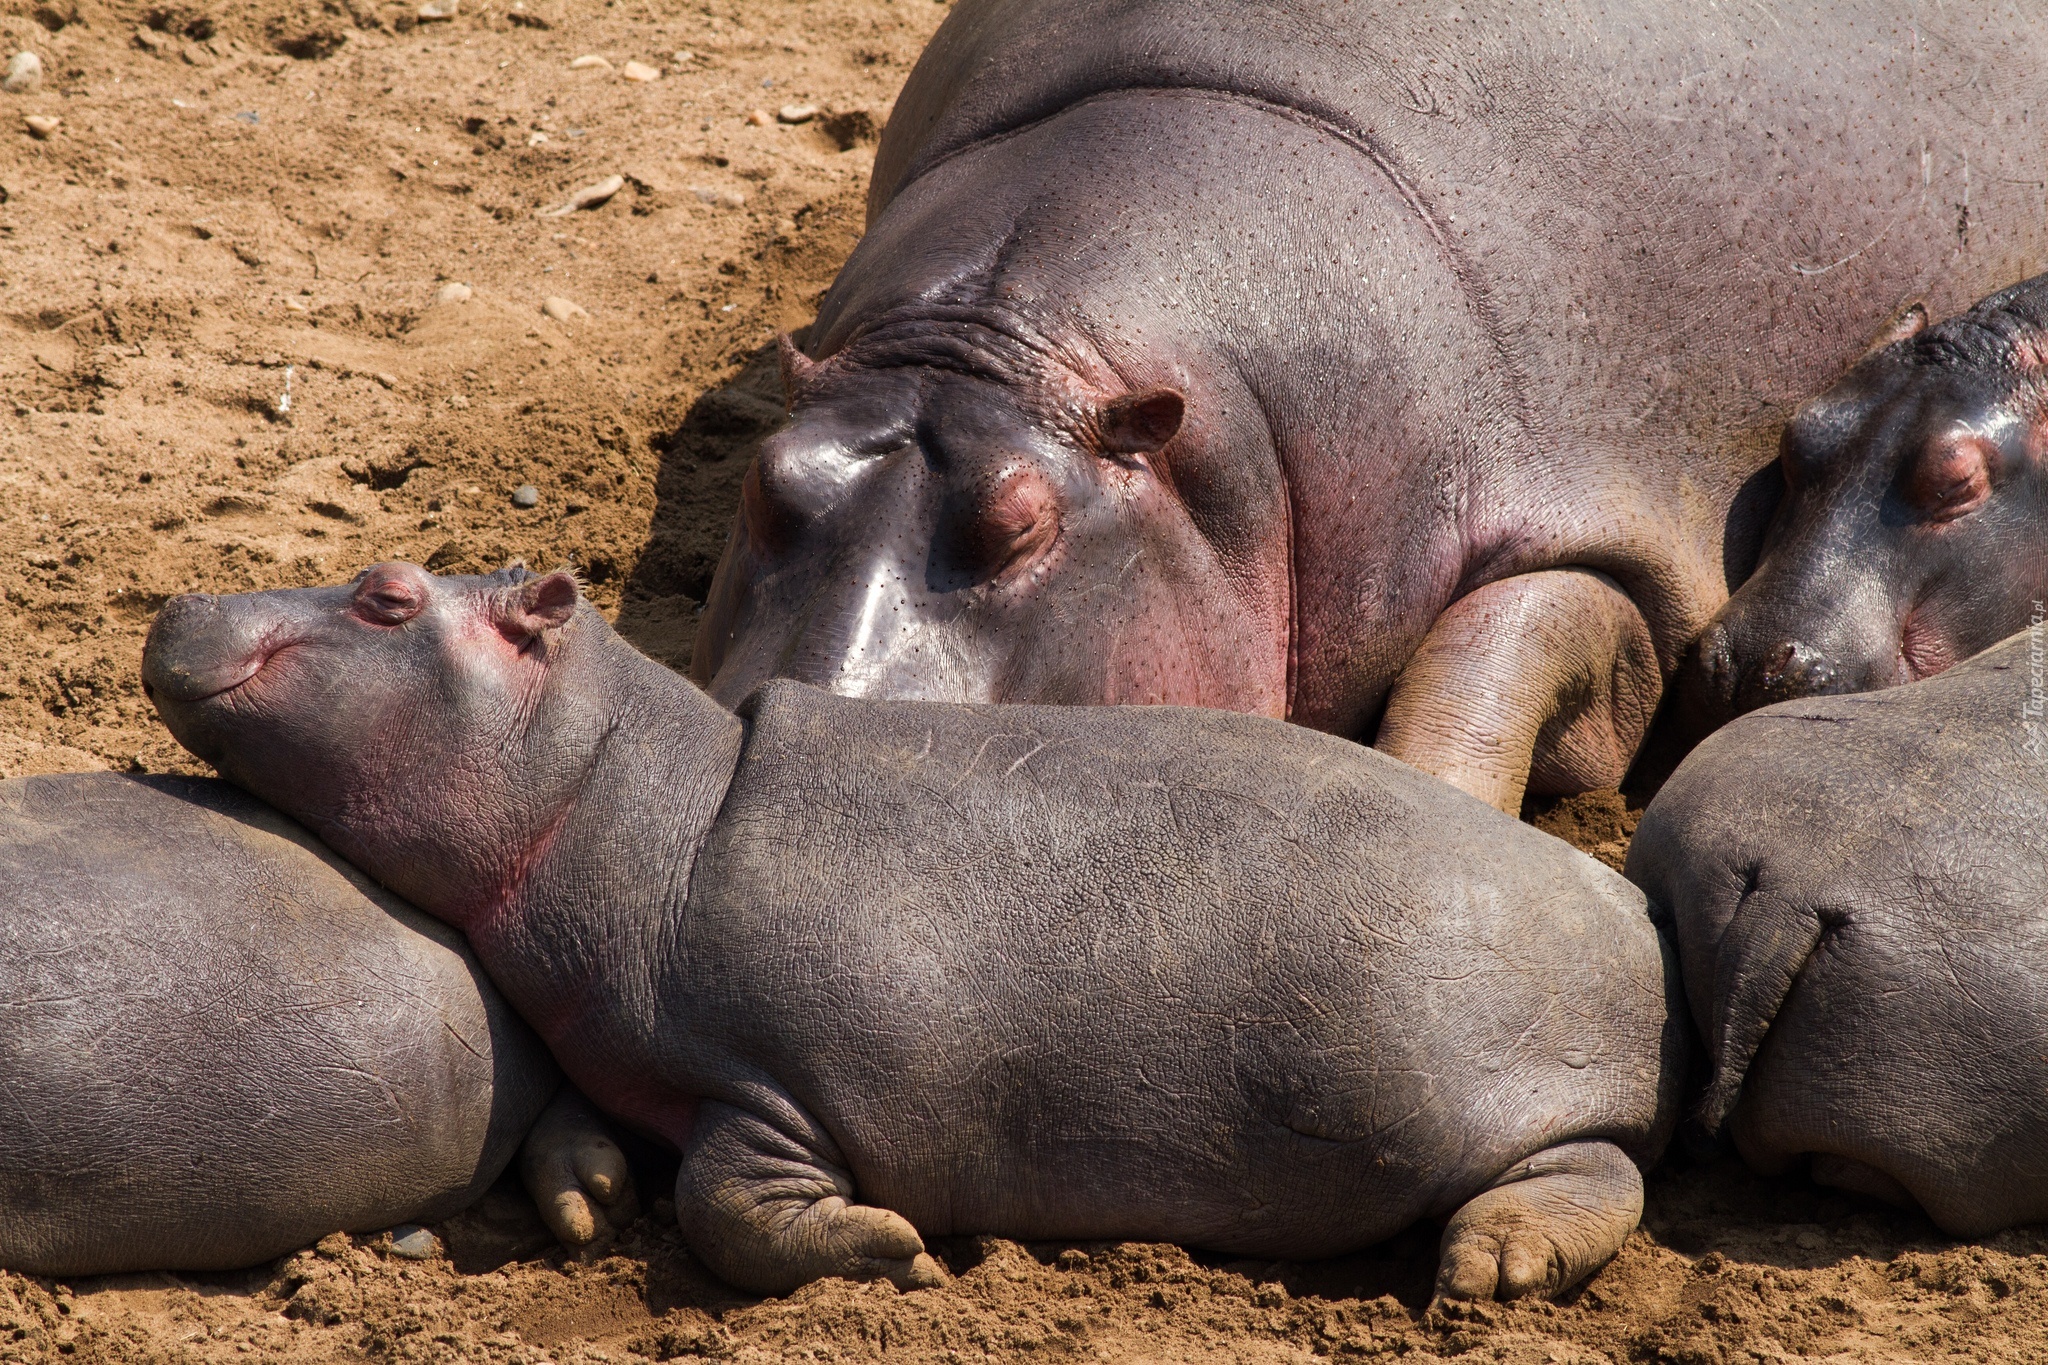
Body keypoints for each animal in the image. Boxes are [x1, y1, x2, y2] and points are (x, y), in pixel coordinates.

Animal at [140, 564, 1679, 1301]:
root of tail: (1632, 908)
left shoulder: (780, 1081)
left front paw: (894, 1255)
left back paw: (1490, 1273)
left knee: (1589, 1170)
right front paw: (589, 1202)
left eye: (386, 595)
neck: (620, 790)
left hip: (1503, 1100)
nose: (178, 600)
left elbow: (730, 1205)